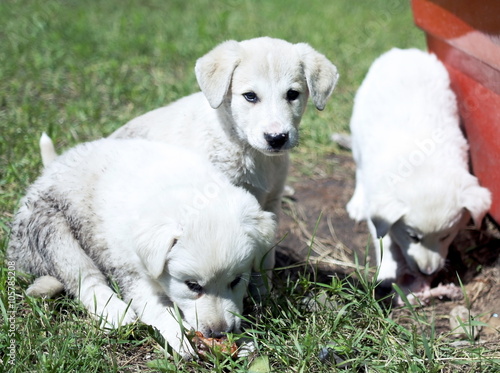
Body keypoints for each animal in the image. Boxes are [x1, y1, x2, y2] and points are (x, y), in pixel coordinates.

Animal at [346, 48, 490, 306]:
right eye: (412, 236)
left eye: (446, 235)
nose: (427, 272)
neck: (423, 162)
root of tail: (403, 51)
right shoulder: (379, 202)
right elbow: (383, 238)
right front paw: (387, 268)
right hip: (358, 127)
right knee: (359, 168)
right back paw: (357, 203)